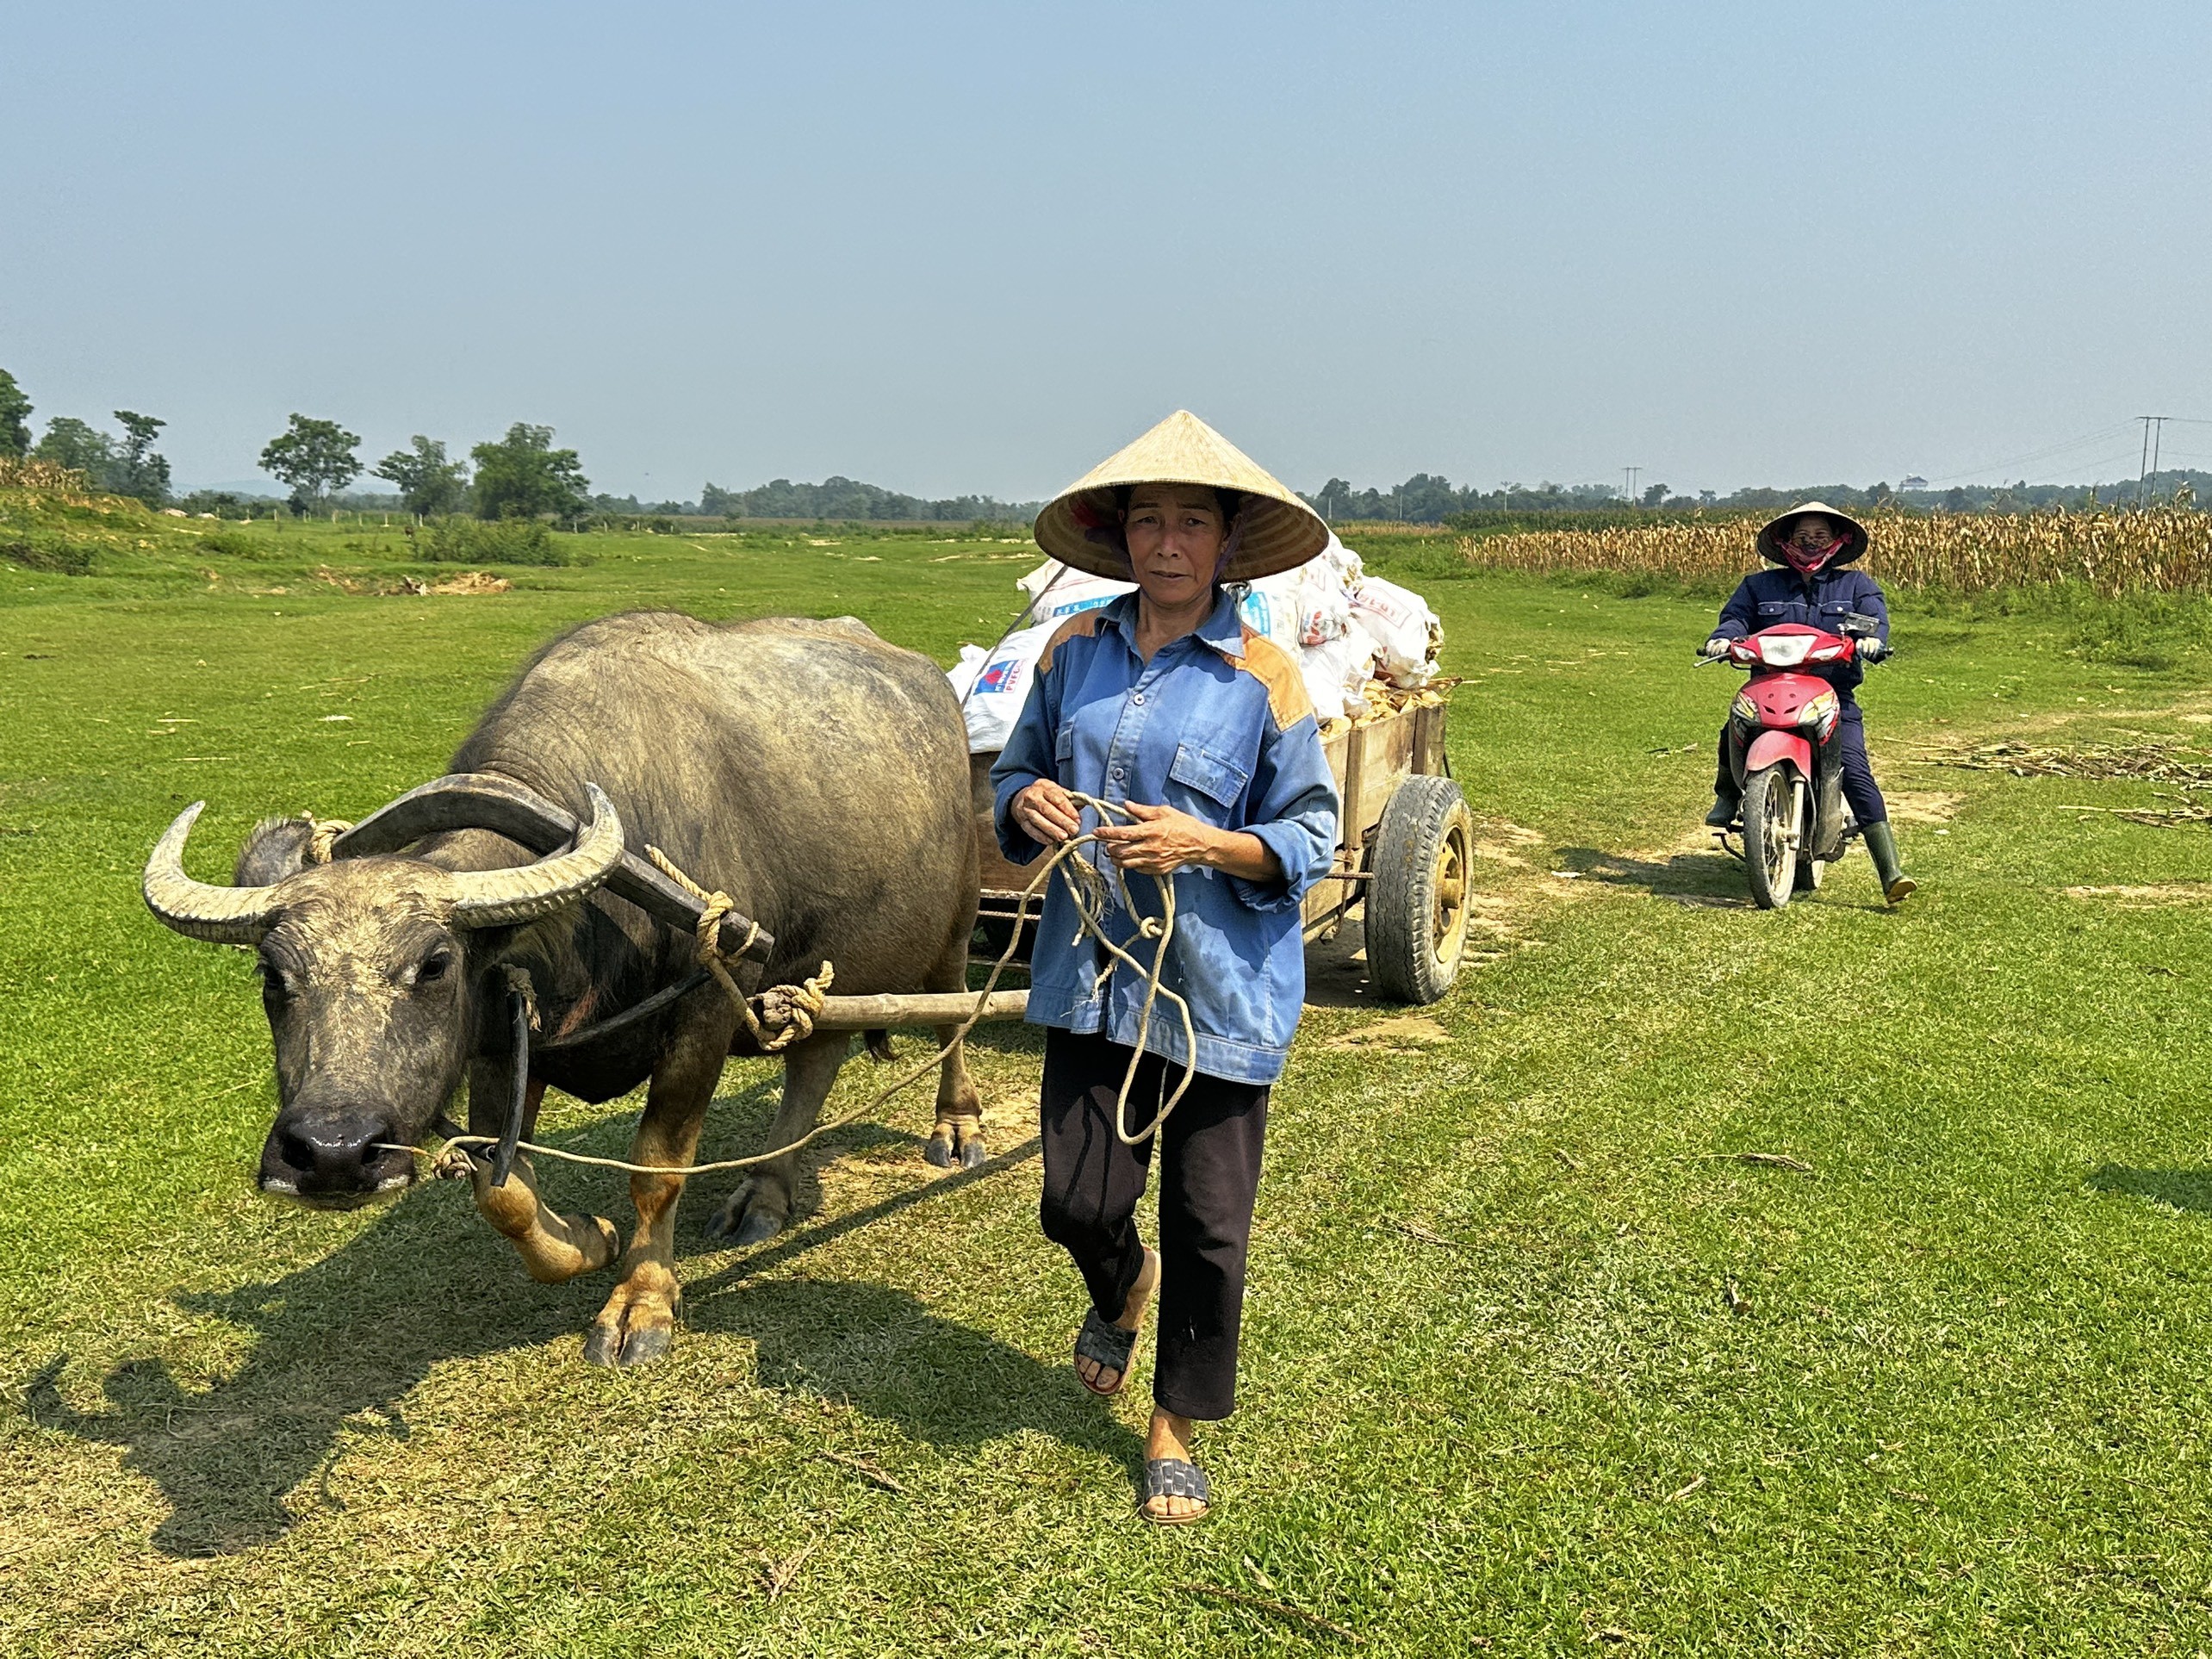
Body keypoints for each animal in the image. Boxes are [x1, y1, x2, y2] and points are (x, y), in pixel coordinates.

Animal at [146, 619, 986, 1371]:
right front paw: (591, 1239)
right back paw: (767, 1192)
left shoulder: (706, 1012)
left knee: (953, 1018)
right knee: (817, 1056)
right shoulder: (503, 1038)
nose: (331, 1154)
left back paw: (957, 1128)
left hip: (956, 924)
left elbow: (657, 1169)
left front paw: (640, 1303)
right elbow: (501, 1189)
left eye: (435, 964)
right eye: (272, 975)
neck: (594, 916)